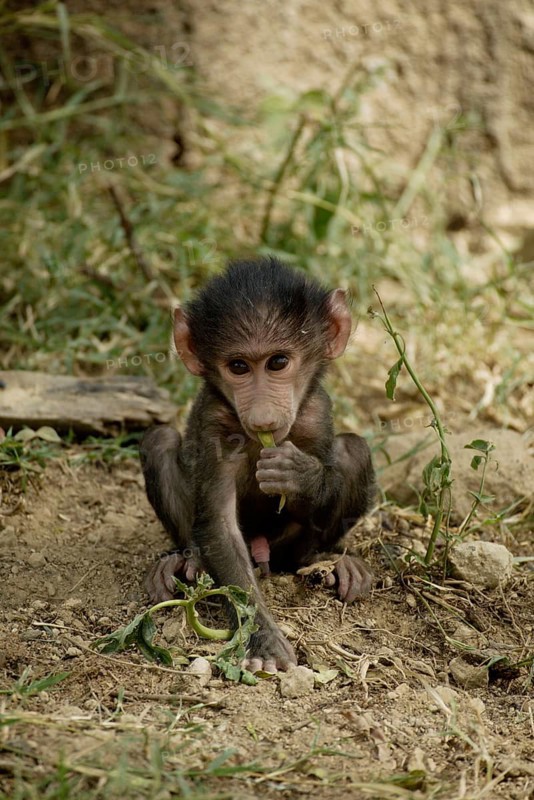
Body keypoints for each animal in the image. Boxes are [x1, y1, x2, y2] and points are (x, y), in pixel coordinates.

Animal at [140, 257, 375, 673]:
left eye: (278, 362)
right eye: (238, 366)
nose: (264, 418)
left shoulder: (315, 414)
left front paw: (299, 475)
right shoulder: (214, 423)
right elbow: (219, 525)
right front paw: (261, 638)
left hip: (288, 549)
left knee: (354, 449)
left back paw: (331, 563)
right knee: (160, 441)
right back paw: (185, 561)